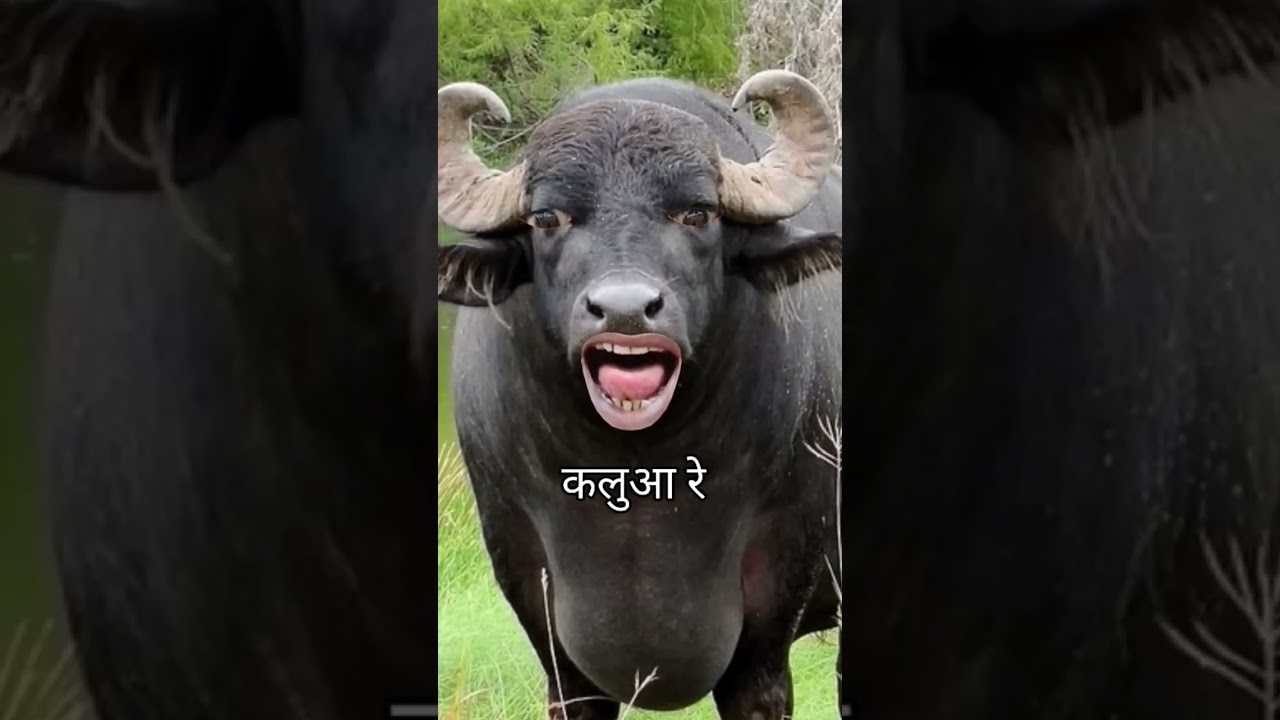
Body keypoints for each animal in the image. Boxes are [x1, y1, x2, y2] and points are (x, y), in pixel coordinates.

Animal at [434, 69, 843, 719]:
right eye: (546, 217)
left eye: (697, 213)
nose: (624, 310)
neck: (638, 476)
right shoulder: (531, 589)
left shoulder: (778, 593)